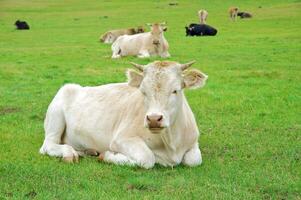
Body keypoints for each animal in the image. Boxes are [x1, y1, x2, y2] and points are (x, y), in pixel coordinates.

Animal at [39, 60, 207, 168]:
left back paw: (88, 151)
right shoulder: (121, 139)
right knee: (48, 145)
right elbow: (147, 158)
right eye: (143, 91)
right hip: (55, 118)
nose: (153, 119)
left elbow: (194, 160)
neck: (171, 144)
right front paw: (107, 156)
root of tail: (72, 86)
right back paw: (69, 153)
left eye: (175, 90)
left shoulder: (193, 142)